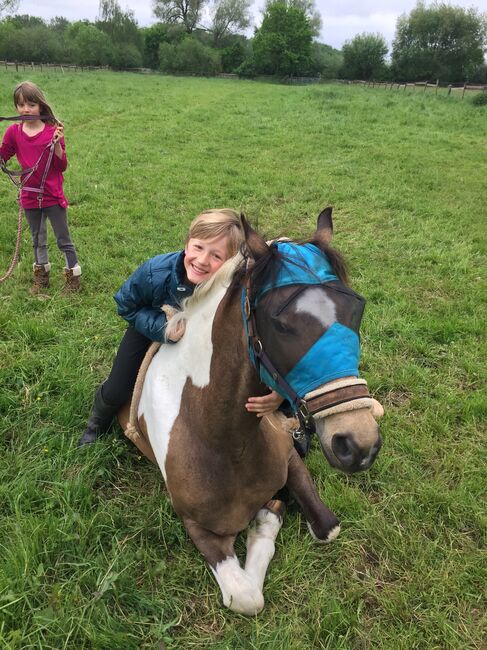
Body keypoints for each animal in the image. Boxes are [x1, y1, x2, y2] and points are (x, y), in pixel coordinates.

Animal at [119, 209, 386, 612]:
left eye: (357, 308)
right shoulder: (196, 525)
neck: (222, 441)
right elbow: (246, 597)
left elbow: (327, 528)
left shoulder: (288, 457)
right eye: (280, 322)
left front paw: (267, 517)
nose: (358, 444)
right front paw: (265, 519)